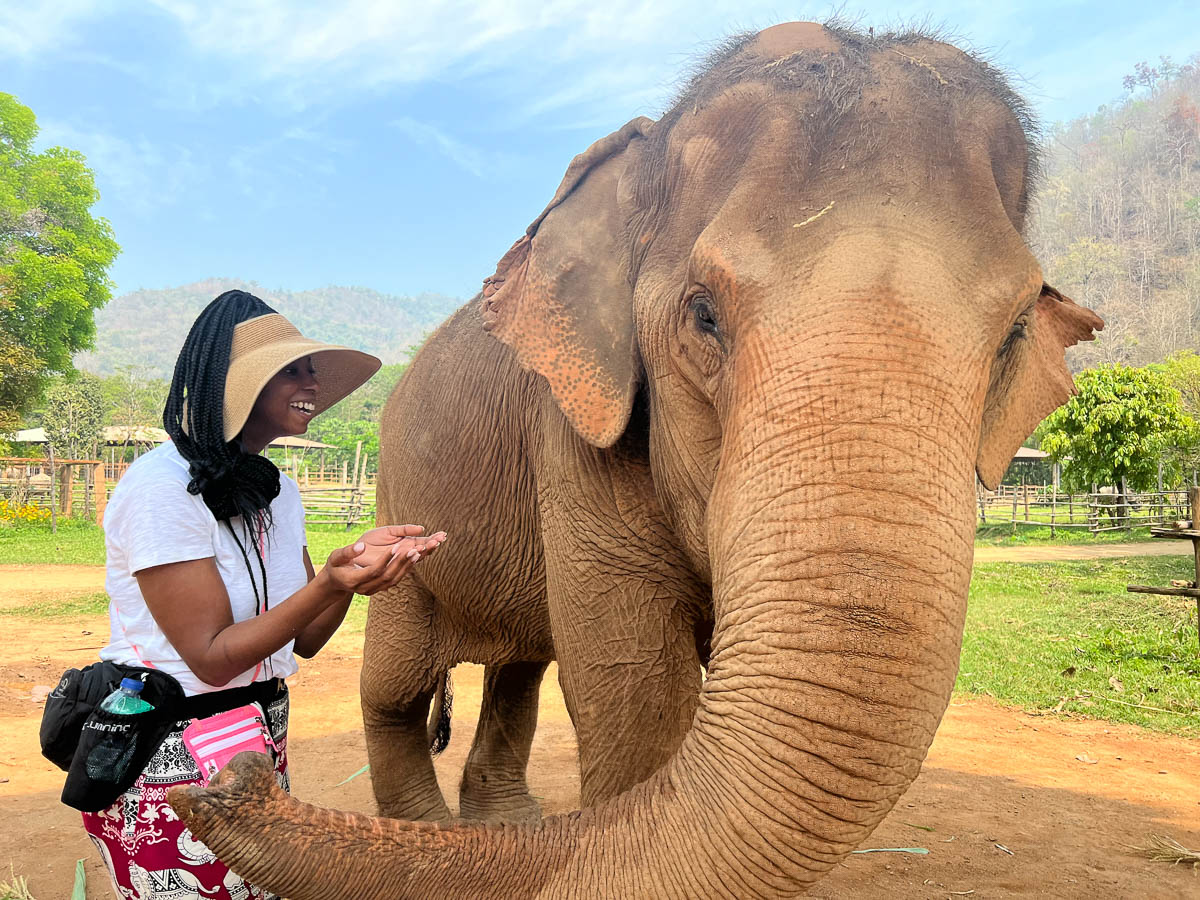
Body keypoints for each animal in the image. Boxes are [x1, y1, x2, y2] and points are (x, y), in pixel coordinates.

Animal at [169, 21, 1102, 898]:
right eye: (702, 314)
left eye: (1014, 332)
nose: (229, 780)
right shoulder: (573, 423)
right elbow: (635, 680)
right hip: (401, 484)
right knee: (397, 684)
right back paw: (439, 823)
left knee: (519, 666)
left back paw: (503, 828)